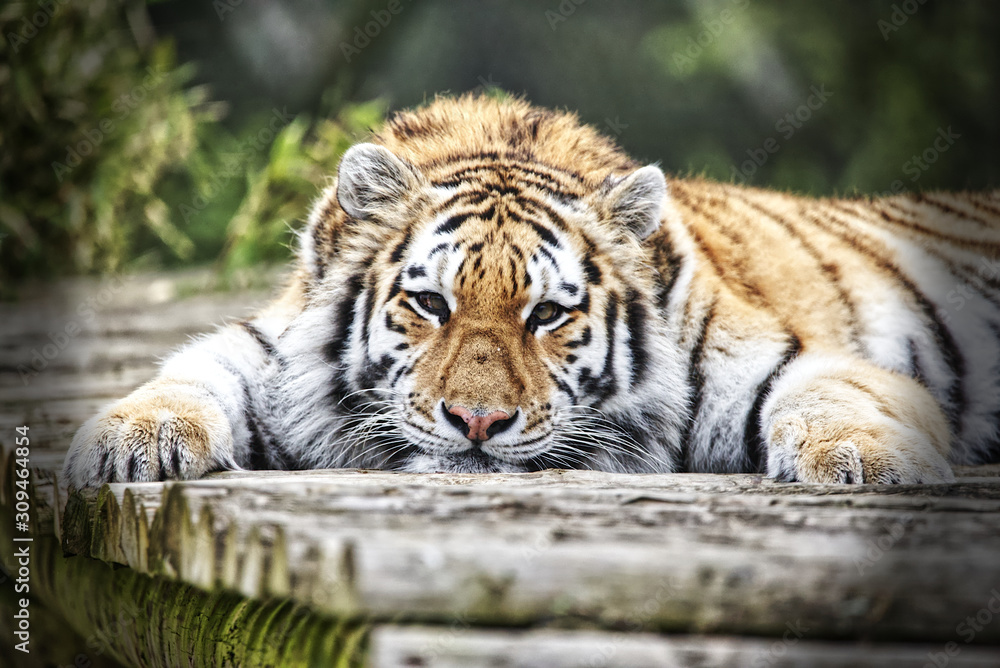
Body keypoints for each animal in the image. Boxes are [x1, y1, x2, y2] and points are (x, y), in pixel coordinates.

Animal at [63, 93, 1000, 487]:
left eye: (548, 315)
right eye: (430, 305)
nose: (476, 424)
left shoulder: (784, 360)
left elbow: (833, 398)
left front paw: (874, 464)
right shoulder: (267, 349)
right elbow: (188, 374)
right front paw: (131, 442)